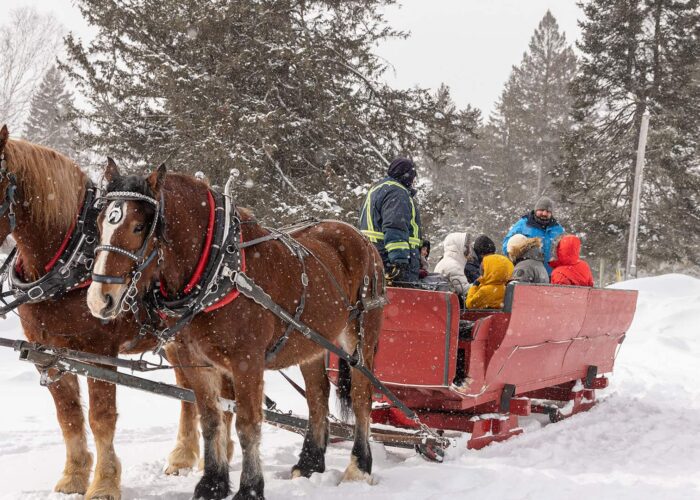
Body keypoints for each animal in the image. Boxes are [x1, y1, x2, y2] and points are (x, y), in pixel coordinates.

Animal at [0, 126, 233, 499]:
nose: (100, 302)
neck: (69, 260)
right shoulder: (46, 351)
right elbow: (68, 415)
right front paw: (74, 476)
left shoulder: (98, 351)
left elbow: (101, 417)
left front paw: (105, 483)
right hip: (178, 343)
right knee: (191, 394)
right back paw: (184, 456)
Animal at [86, 162, 384, 500]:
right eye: (99, 223)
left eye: (138, 227)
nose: (99, 299)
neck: (218, 270)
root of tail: (361, 238)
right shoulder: (198, 362)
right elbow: (211, 420)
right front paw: (212, 483)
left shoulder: (246, 362)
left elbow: (247, 424)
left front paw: (250, 488)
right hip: (311, 342)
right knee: (317, 396)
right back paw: (309, 463)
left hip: (360, 337)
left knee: (361, 396)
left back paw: (359, 466)